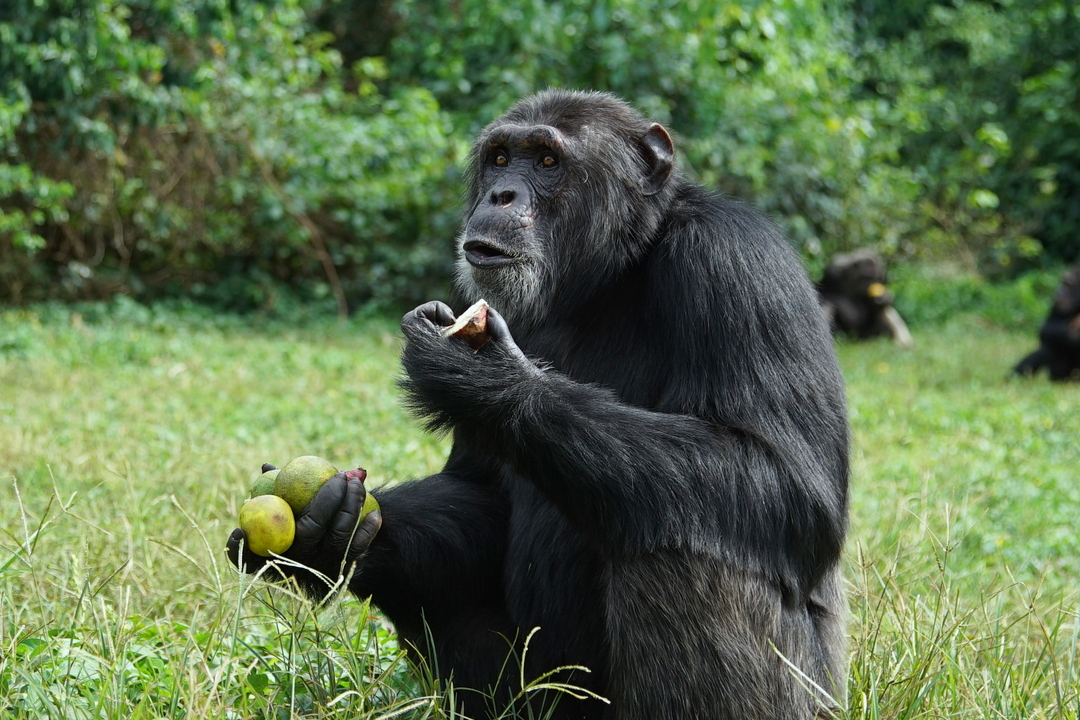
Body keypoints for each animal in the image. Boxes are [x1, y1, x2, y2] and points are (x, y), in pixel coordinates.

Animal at [227, 90, 851, 720]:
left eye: (548, 161)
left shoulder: (736, 262)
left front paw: (486, 379)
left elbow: (787, 481)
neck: (609, 275)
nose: (501, 194)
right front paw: (335, 533)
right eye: (501, 158)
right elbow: (481, 494)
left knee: (685, 541)